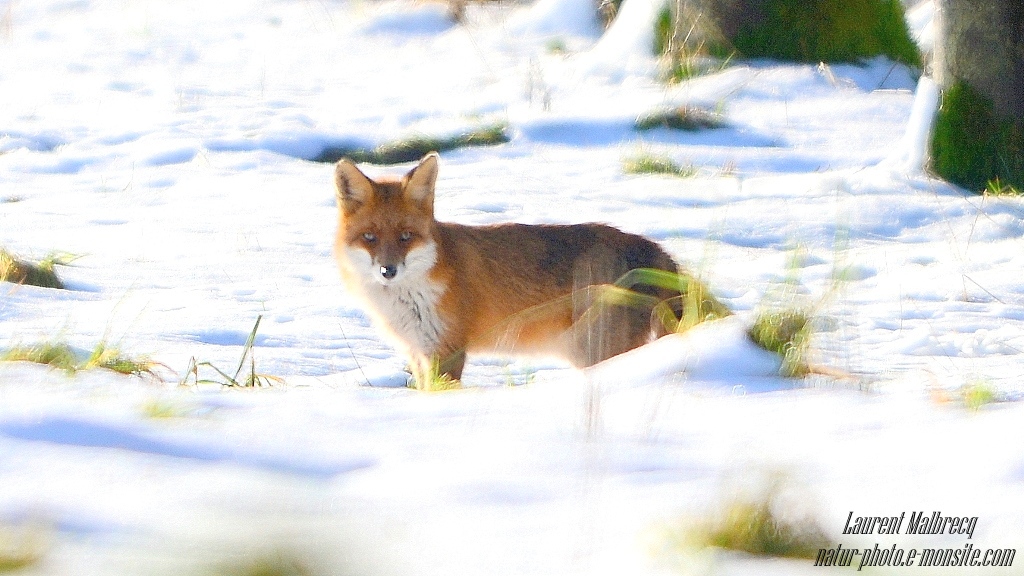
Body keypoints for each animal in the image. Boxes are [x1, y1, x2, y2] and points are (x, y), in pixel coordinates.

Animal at [333, 151, 729, 385]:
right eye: (369, 237)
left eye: (406, 237)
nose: (388, 271)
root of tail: (650, 248)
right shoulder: (419, 353)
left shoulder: (448, 352)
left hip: (596, 351)